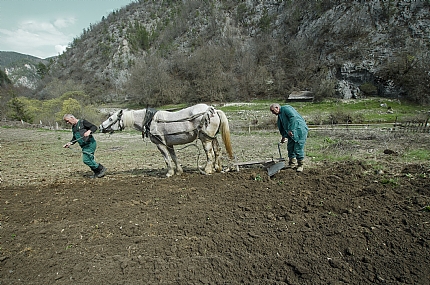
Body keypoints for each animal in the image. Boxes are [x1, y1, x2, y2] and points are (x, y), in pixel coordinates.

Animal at [99, 103, 233, 176]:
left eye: (111, 119)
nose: (100, 127)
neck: (151, 120)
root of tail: (213, 110)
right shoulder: (170, 144)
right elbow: (174, 157)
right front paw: (179, 171)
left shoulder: (160, 144)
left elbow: (166, 159)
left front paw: (169, 173)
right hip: (212, 137)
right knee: (217, 151)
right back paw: (217, 168)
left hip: (205, 139)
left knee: (209, 154)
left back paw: (207, 170)